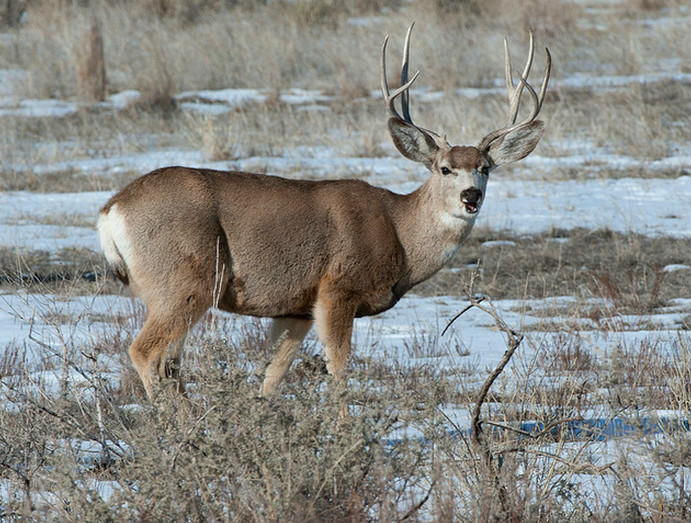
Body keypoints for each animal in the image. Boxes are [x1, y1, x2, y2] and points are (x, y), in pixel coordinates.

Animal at [97, 24, 552, 400]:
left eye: (485, 167)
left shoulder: (294, 307)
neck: (399, 234)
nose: (471, 196)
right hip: (185, 278)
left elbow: (272, 376)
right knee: (145, 351)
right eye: (444, 168)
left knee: (171, 362)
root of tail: (111, 210)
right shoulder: (337, 287)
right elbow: (339, 369)